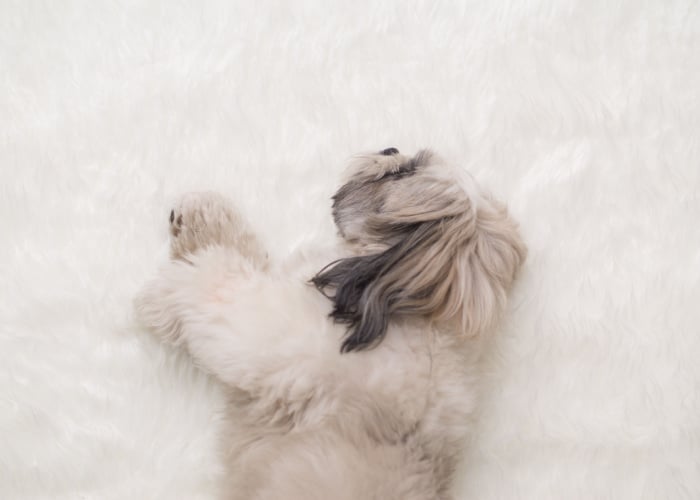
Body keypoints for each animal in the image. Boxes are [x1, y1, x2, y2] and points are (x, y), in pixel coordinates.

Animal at [135, 146, 524, 498]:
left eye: (405, 171)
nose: (390, 149)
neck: (428, 323)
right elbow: (238, 252)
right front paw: (201, 217)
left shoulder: (260, 326)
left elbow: (216, 282)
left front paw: (164, 291)